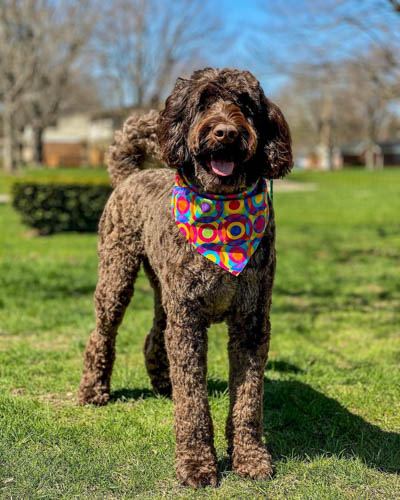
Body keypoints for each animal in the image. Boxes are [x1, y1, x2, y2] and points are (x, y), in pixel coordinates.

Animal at [78, 67, 292, 488]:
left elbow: (248, 398)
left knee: (155, 335)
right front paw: (196, 463)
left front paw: (249, 456)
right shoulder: (189, 321)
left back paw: (163, 383)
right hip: (117, 277)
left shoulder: (252, 321)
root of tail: (131, 175)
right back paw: (94, 391)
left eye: (244, 104)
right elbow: (193, 401)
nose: (226, 133)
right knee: (102, 334)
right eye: (202, 102)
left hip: (165, 291)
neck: (223, 210)